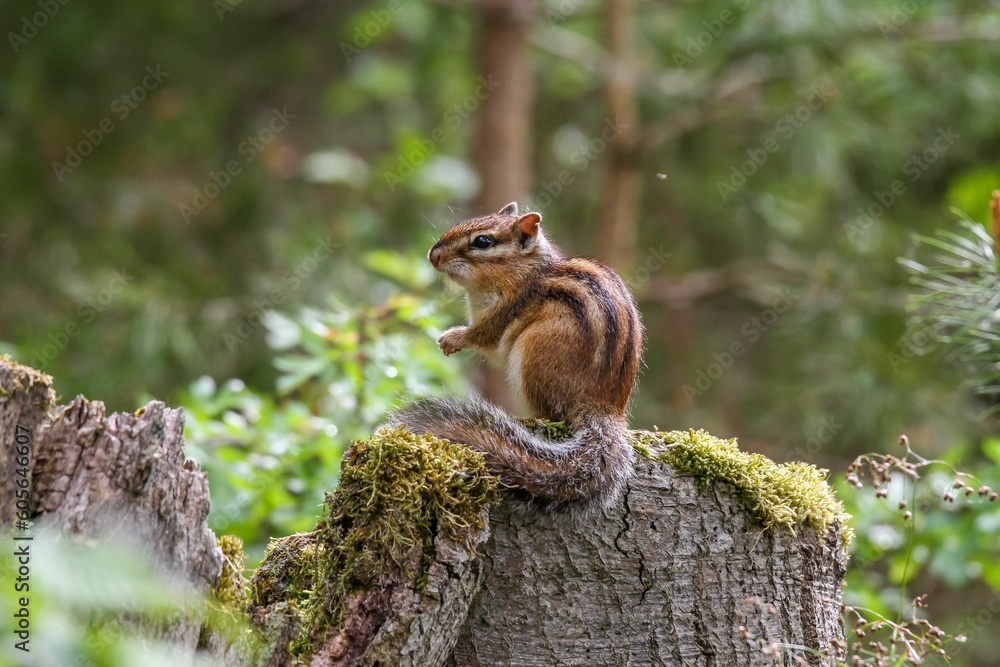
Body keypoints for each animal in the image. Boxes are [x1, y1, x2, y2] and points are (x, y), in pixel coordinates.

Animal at [388, 202, 644, 511]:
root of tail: (604, 407)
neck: (524, 271)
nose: (433, 255)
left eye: (482, 241)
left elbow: (482, 335)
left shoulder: (504, 313)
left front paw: (451, 339)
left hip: (534, 354)